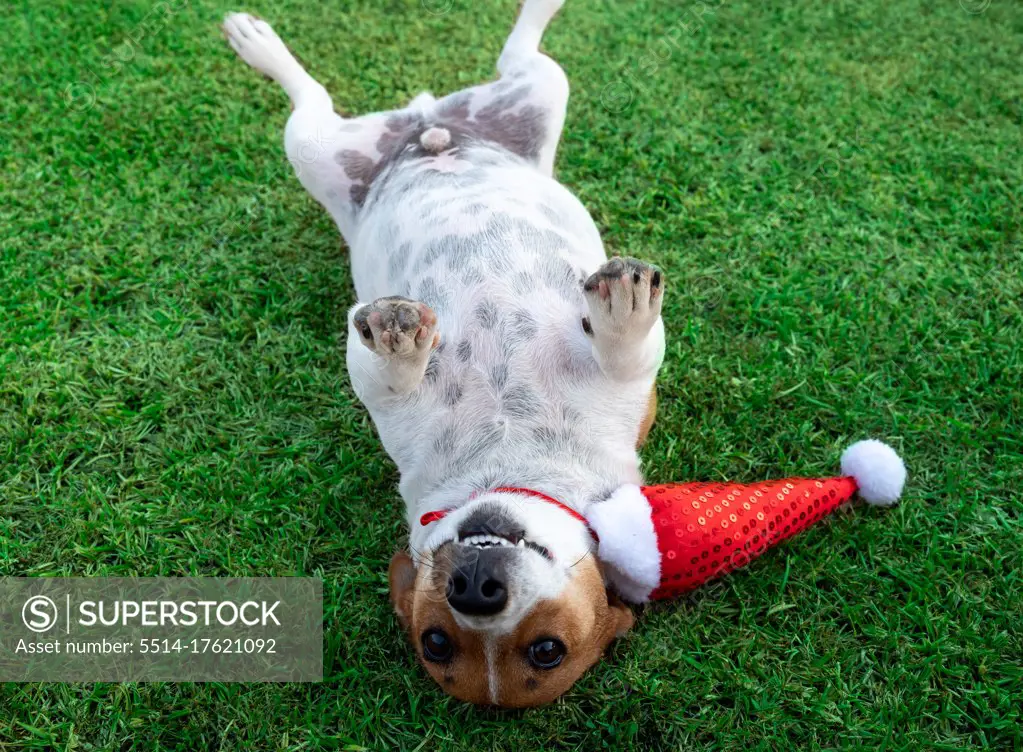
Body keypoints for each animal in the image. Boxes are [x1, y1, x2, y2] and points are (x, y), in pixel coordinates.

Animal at [224, 0, 662, 703]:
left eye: (546, 650)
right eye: (435, 641)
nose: (476, 591)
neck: (507, 462)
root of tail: (429, 124)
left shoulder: (625, 395)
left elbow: (626, 352)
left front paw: (623, 309)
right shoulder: (394, 403)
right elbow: (392, 370)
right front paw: (400, 335)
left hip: (509, 98)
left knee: (506, 56)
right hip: (343, 143)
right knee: (312, 88)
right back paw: (256, 39)